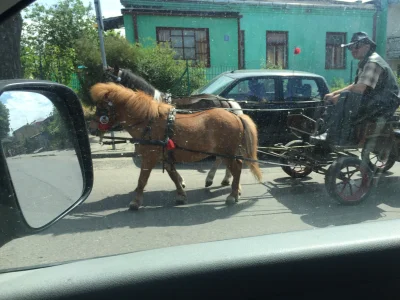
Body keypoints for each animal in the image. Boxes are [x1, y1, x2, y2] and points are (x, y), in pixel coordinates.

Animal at [90, 81, 262, 210]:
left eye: (102, 108)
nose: (92, 128)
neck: (149, 122)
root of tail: (235, 115)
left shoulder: (149, 157)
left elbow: (142, 179)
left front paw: (136, 201)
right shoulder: (165, 155)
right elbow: (173, 175)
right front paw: (181, 194)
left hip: (227, 152)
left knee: (236, 168)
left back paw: (232, 194)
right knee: (233, 167)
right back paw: (232, 188)